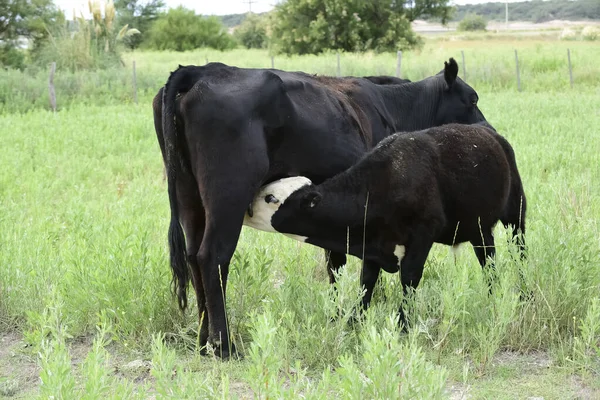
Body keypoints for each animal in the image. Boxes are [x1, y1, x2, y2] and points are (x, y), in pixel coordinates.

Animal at [154, 57, 488, 356]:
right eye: (472, 99)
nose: (489, 131)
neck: (391, 106)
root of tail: (201, 71)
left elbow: (334, 262)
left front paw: (335, 314)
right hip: (228, 193)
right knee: (213, 257)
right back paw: (224, 345)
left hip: (189, 198)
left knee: (193, 258)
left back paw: (203, 341)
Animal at [244, 123, 524, 326]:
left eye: (271, 197)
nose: (246, 207)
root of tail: (491, 134)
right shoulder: (373, 243)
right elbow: (366, 282)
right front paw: (354, 320)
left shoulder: (423, 234)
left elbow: (409, 277)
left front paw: (403, 324)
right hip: (480, 228)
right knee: (488, 261)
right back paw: (494, 298)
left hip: (516, 213)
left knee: (519, 251)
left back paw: (524, 295)